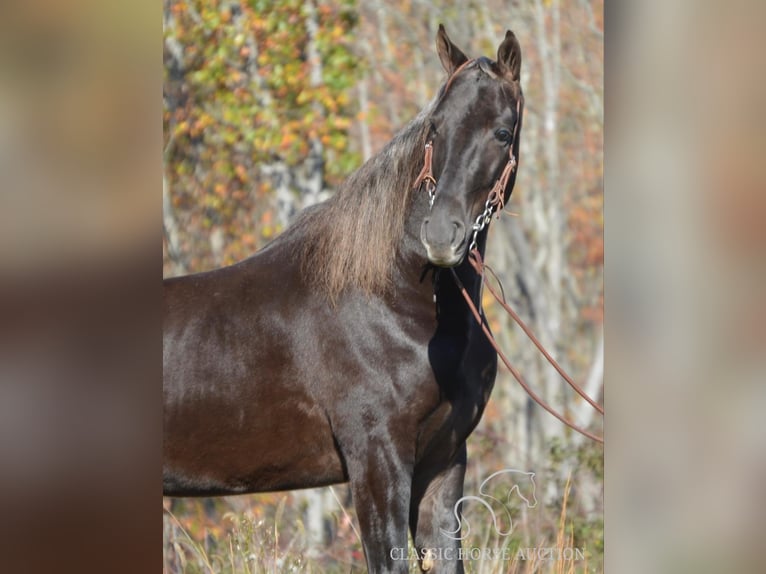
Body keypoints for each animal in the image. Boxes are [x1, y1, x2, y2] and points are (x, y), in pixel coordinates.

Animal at [164, 24, 524, 572]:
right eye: (435, 129)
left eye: (502, 133)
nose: (440, 235)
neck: (391, 299)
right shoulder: (377, 462)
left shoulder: (444, 462)